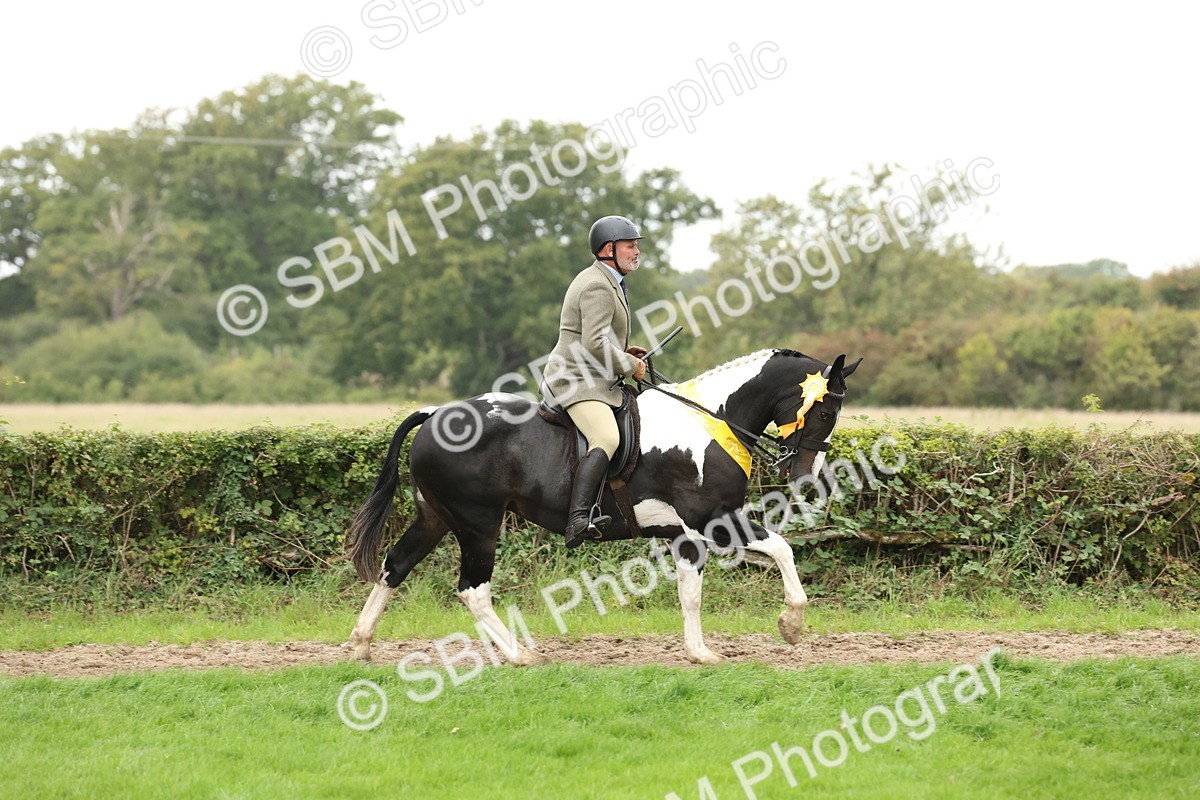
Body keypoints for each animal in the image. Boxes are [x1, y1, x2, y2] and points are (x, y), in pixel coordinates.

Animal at [344, 348, 861, 665]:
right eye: (825, 411)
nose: (806, 476)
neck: (711, 421)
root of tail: (435, 415)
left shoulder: (687, 534)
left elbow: (691, 593)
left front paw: (700, 653)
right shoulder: (715, 520)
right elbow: (782, 550)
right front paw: (791, 624)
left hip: (434, 518)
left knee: (395, 565)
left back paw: (361, 644)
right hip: (478, 525)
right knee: (473, 590)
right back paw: (520, 654)